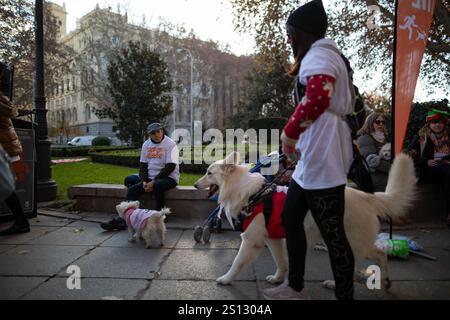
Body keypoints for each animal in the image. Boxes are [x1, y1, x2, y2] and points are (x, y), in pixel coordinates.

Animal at [195, 151, 416, 288]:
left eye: (209, 173)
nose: (195, 185)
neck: (250, 194)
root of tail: (367, 196)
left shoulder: (250, 242)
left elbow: (236, 263)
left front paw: (226, 279)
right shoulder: (272, 240)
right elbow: (282, 262)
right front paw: (278, 279)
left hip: (346, 243)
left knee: (355, 266)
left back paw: (335, 284)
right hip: (358, 243)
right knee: (380, 254)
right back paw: (385, 281)